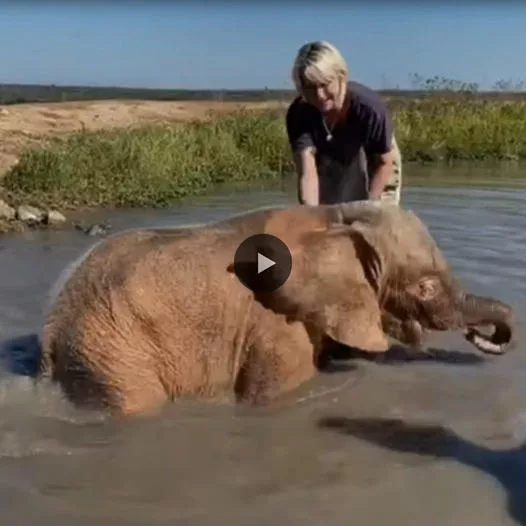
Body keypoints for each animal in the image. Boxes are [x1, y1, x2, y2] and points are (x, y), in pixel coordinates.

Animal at [39, 201, 516, 416]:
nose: (485, 335)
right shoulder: (275, 325)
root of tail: (50, 329)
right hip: (112, 353)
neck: (336, 217)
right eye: (425, 287)